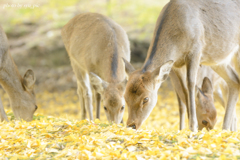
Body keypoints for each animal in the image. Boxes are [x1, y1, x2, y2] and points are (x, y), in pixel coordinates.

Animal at [124, 0, 240, 131]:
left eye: (146, 99)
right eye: (125, 96)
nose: (131, 125)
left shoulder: (196, 50)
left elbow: (191, 84)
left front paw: (193, 128)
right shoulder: (176, 65)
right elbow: (184, 91)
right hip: (218, 61)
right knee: (234, 80)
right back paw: (225, 129)